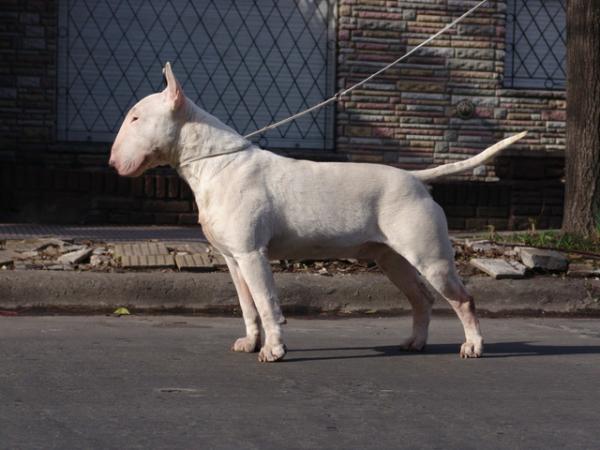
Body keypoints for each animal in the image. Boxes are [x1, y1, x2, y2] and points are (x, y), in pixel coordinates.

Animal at [108, 62, 524, 362]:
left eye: (135, 118)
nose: (112, 162)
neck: (215, 163)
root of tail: (415, 178)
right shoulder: (233, 259)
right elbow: (247, 305)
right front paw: (250, 342)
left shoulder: (252, 254)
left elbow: (266, 302)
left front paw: (273, 350)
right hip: (391, 258)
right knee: (421, 299)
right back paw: (414, 343)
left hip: (429, 256)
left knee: (462, 299)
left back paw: (473, 347)